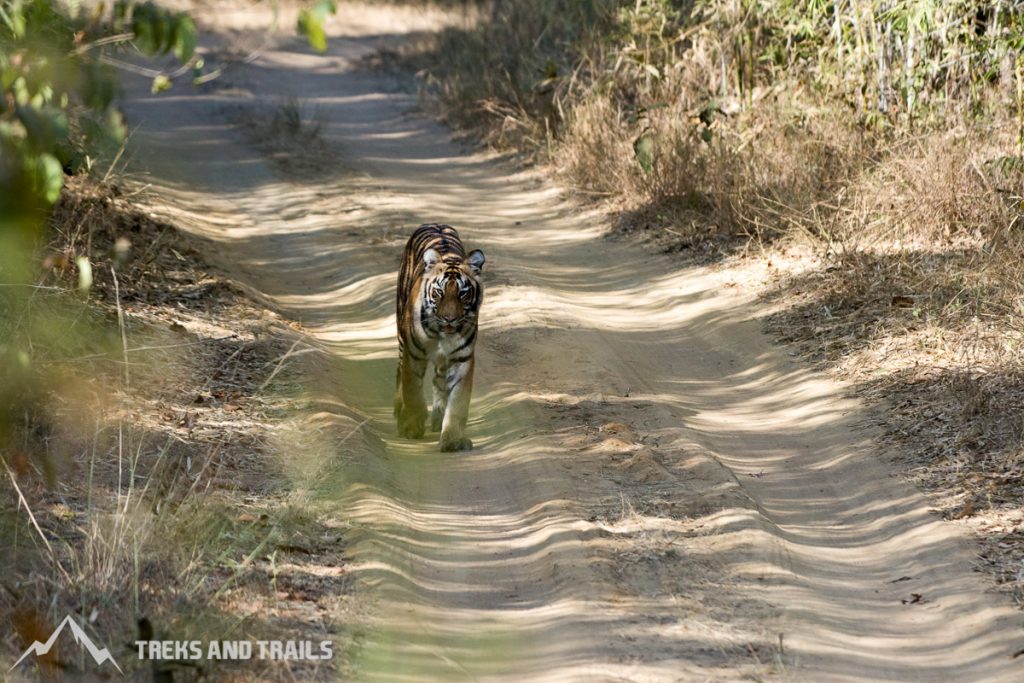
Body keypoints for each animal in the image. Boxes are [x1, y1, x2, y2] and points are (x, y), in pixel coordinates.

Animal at [393, 222, 485, 450]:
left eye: (463, 293)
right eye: (439, 292)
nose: (449, 318)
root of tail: (435, 223)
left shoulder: (462, 359)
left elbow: (458, 402)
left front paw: (452, 439)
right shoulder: (413, 354)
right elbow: (412, 391)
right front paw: (411, 427)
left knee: (439, 382)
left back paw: (437, 417)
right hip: (401, 338)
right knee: (399, 372)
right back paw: (399, 411)